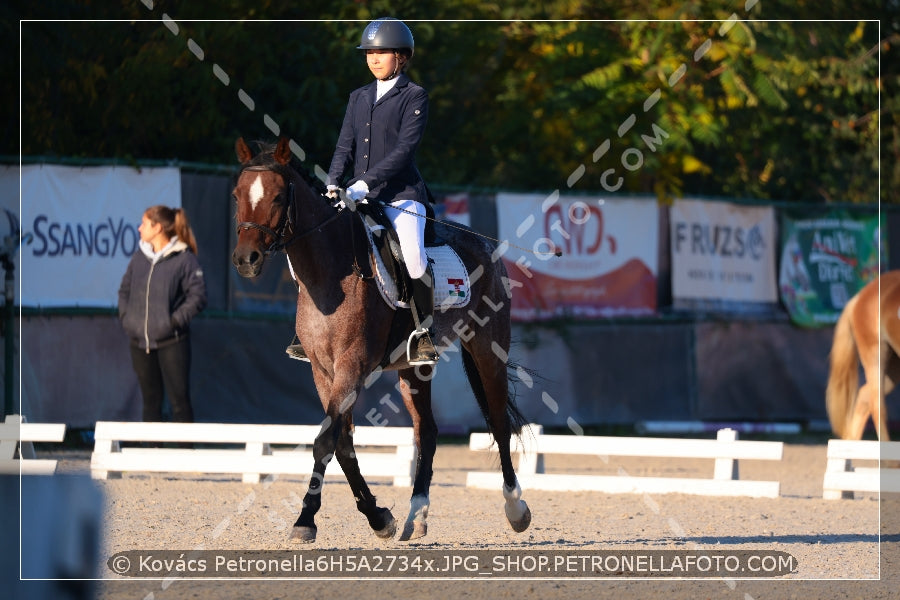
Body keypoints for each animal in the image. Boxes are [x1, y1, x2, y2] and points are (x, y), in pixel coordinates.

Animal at [229, 139, 532, 544]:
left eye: (278, 197)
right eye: (236, 195)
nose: (245, 260)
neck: (330, 274)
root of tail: (484, 245)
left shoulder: (352, 366)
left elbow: (325, 441)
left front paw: (305, 520)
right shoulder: (323, 372)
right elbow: (341, 443)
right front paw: (378, 517)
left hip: (488, 348)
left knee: (498, 422)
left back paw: (516, 509)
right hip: (415, 367)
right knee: (427, 432)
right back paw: (416, 516)